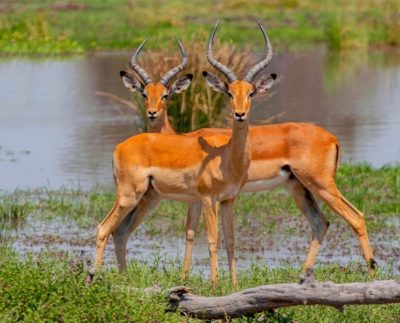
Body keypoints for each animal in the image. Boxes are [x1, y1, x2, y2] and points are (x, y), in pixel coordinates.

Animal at [92, 26, 276, 286]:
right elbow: (211, 239)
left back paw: (123, 278)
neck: (226, 156)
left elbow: (229, 240)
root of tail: (120, 146)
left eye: (250, 93)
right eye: (229, 93)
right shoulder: (207, 199)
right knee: (103, 228)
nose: (240, 114)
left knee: (119, 231)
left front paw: (234, 284)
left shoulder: (227, 200)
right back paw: (92, 278)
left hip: (144, 199)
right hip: (129, 196)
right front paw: (214, 285)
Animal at [115, 20, 376, 284]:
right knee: (320, 223)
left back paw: (372, 271)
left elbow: (198, 234)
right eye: (144, 94)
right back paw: (303, 275)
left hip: (322, 185)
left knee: (356, 217)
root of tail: (332, 137)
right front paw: (185, 279)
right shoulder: (198, 199)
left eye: (166, 95)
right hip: (299, 187)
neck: (180, 141)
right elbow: (190, 233)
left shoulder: (204, 198)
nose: (151, 113)